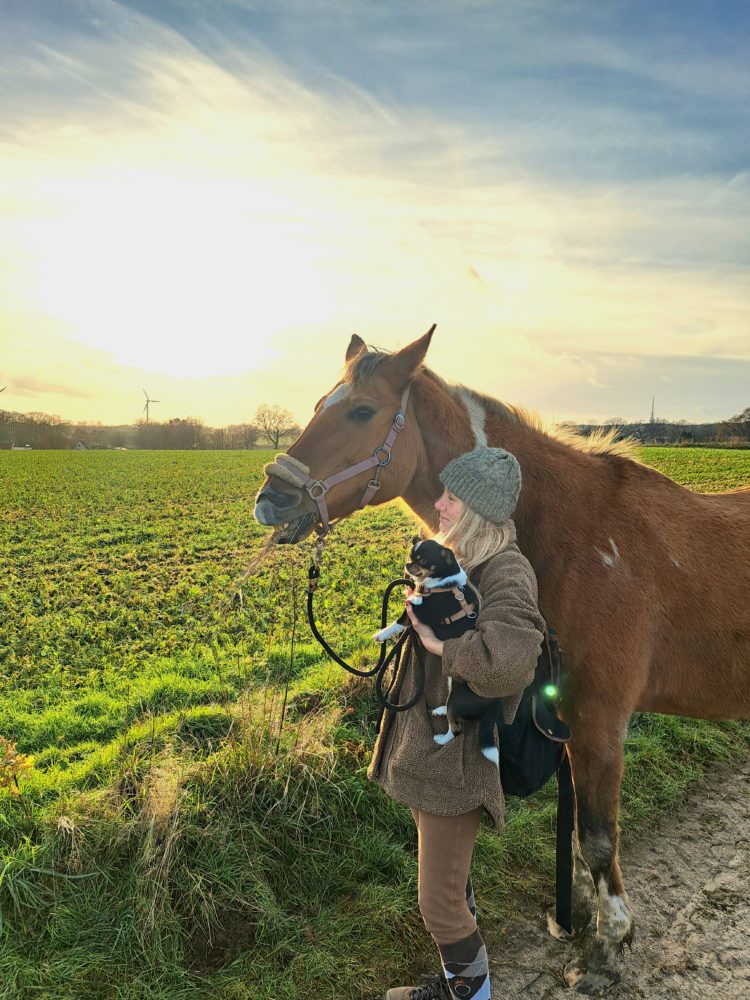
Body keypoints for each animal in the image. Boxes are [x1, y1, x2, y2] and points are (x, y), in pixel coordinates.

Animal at [374, 540, 502, 764]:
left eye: (423, 561)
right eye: (411, 556)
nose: (408, 564)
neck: (442, 584)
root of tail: (494, 703)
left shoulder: (417, 611)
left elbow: (399, 622)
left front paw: (382, 634)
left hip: (457, 701)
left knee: (456, 729)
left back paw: (442, 739)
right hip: (451, 685)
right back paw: (440, 710)